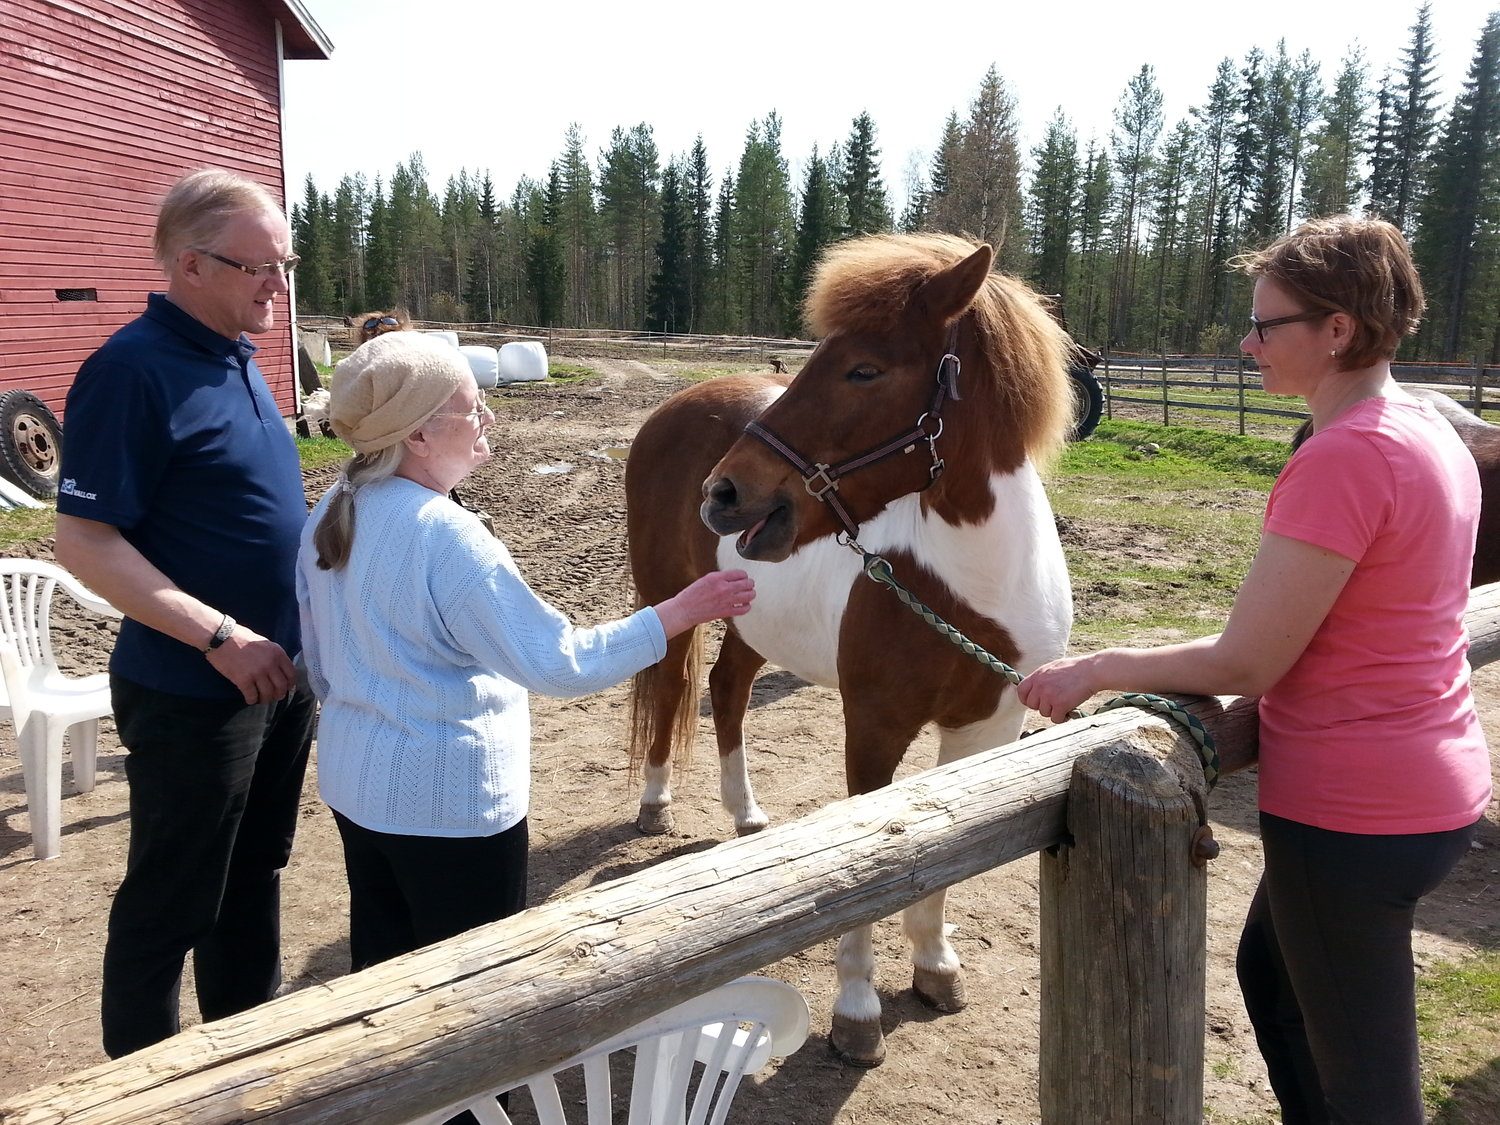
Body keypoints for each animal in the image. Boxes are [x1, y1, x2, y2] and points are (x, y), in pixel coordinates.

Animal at [621, 235, 1080, 1068]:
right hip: (669, 606)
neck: (966, 585)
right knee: (671, 688)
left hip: (750, 618)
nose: (723, 493)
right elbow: (871, 861)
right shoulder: (874, 727)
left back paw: (746, 814)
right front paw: (858, 1008)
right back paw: (656, 803)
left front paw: (935, 966)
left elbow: (944, 850)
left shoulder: (989, 730)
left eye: (864, 369)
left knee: (727, 688)